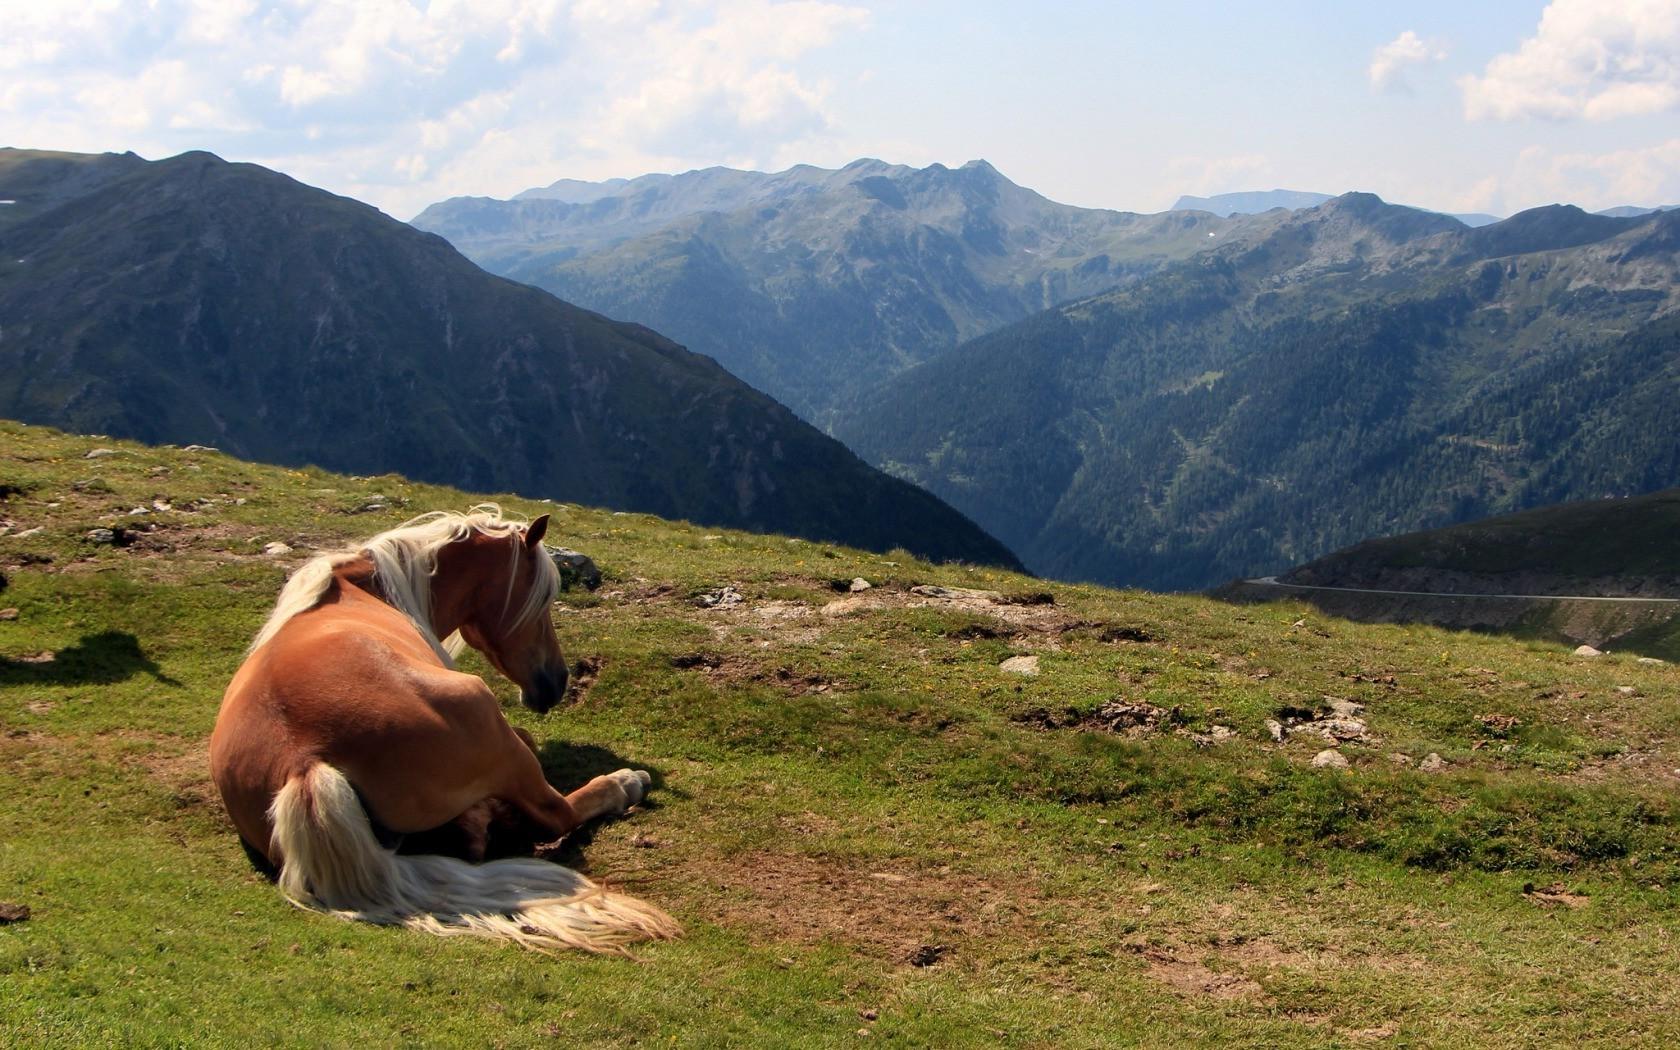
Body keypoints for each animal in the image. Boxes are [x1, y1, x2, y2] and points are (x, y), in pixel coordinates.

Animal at [209, 505, 679, 953]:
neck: (371, 588)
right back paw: (624, 784)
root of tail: (305, 762)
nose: (557, 681)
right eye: (543, 598)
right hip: (484, 711)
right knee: (554, 814)